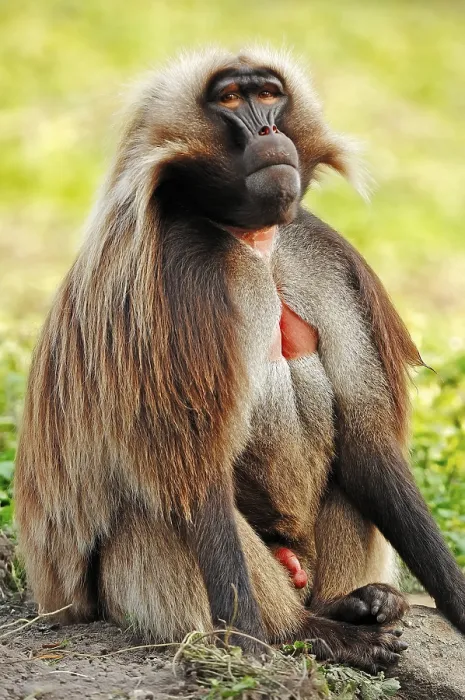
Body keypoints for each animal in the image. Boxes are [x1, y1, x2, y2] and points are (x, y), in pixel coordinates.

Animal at [14, 47, 465, 674]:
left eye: (269, 94)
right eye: (230, 99)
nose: (269, 132)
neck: (252, 241)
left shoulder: (324, 258)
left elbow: (368, 445)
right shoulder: (183, 276)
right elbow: (198, 481)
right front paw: (256, 649)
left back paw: (358, 603)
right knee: (161, 507)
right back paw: (312, 631)